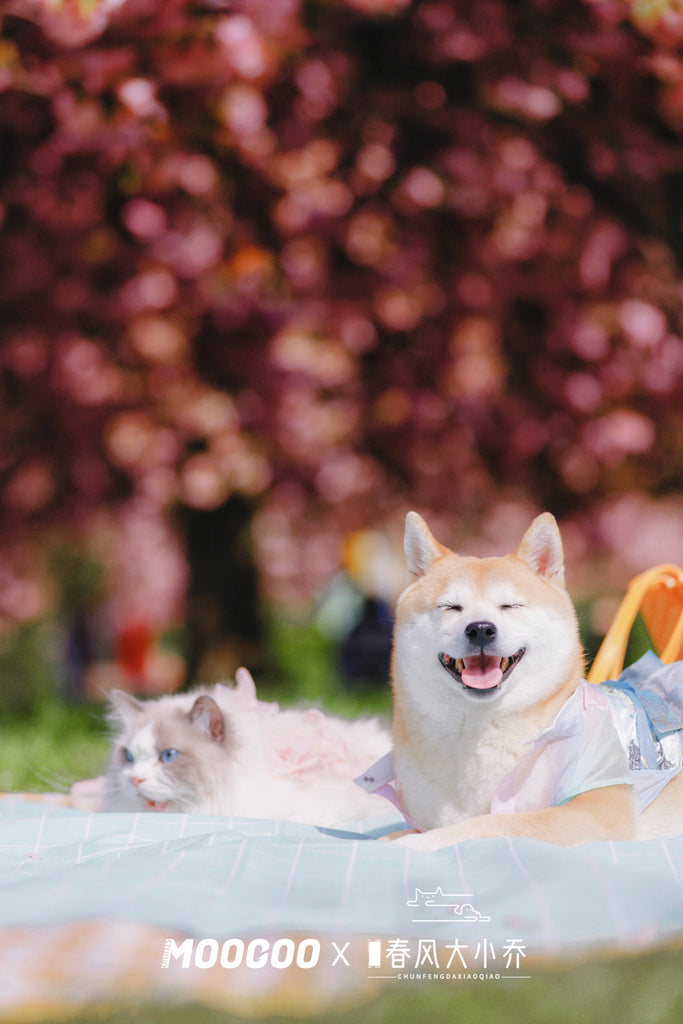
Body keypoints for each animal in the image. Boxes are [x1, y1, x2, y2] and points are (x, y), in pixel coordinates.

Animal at [370, 507, 683, 851]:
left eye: (510, 605)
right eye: (451, 607)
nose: (481, 628)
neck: (480, 732)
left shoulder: (597, 813)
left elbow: (488, 825)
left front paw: (411, 845)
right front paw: (393, 837)